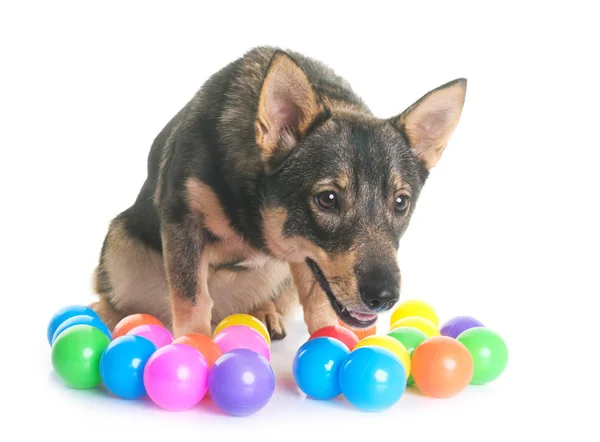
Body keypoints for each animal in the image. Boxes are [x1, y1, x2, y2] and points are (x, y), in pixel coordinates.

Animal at [90, 46, 468, 340]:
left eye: (401, 202)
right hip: (120, 250)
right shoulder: (183, 220)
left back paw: (263, 311)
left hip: (278, 274)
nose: (385, 298)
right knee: (116, 296)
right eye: (328, 199)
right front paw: (193, 349)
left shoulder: (308, 261)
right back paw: (104, 314)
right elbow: (191, 298)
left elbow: (318, 304)